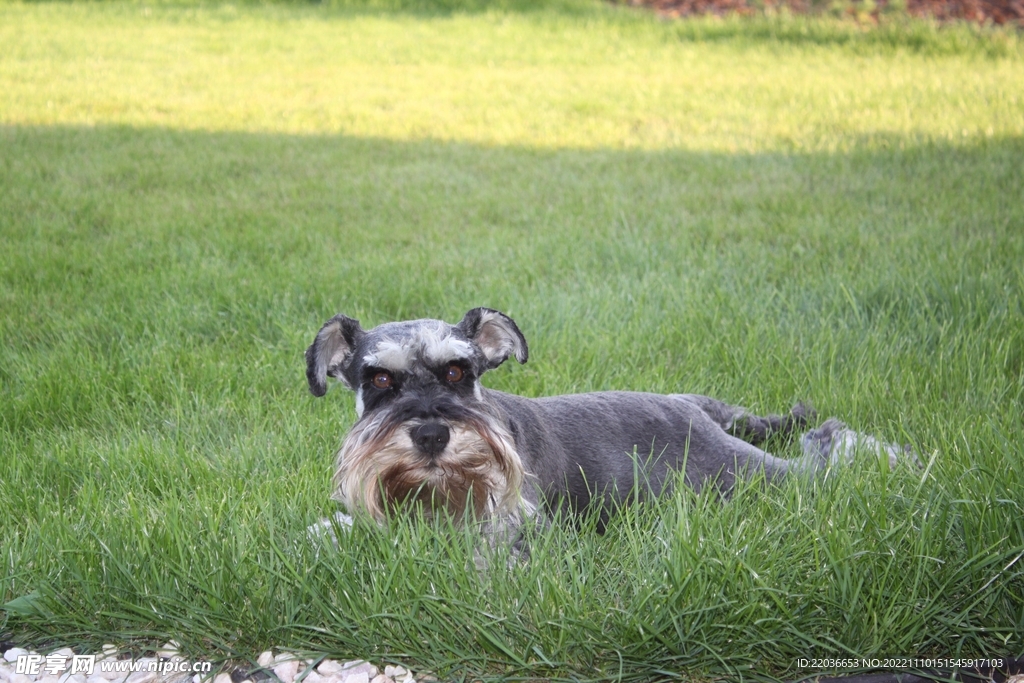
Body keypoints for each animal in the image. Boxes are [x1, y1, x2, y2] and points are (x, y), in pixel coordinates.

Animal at [305, 307, 913, 548]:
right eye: (379, 380)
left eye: (458, 371)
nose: (431, 435)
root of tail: (692, 407)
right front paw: (328, 534)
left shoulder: (519, 524)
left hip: (752, 474)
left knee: (826, 446)